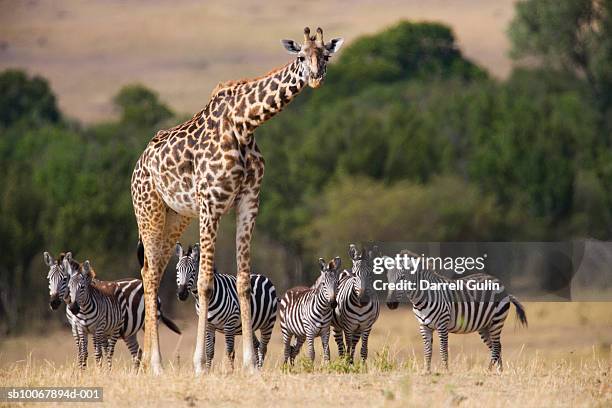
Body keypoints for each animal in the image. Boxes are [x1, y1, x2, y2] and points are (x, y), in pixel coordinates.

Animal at [173, 242, 276, 370]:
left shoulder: (230, 323)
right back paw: (255, 367)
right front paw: (207, 371)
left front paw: (231, 372)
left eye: (193, 271)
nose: (181, 294)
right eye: (177, 269)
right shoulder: (209, 325)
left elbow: (230, 352)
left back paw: (260, 369)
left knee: (263, 348)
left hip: (268, 323)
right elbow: (209, 351)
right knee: (256, 345)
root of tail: (262, 276)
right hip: (249, 325)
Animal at [388, 250, 524, 372]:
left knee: (496, 347)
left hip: (497, 321)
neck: (421, 300)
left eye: (402, 278)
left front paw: (446, 372)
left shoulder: (442, 324)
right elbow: (427, 351)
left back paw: (488, 371)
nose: (390, 304)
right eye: (388, 278)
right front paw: (427, 372)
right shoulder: (423, 326)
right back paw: (499, 372)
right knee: (497, 346)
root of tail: (499, 283)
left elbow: (443, 350)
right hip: (485, 326)